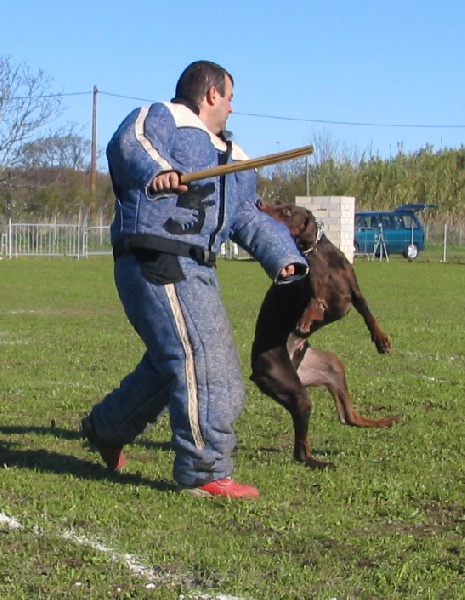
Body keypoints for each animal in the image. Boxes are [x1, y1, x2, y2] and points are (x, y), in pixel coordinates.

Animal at [250, 202, 398, 468]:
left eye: (286, 211)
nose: (259, 203)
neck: (317, 253)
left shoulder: (355, 292)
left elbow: (369, 315)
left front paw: (381, 340)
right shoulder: (311, 288)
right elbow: (315, 301)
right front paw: (306, 318)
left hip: (329, 367)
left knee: (349, 417)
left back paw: (384, 421)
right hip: (294, 390)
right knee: (300, 450)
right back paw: (317, 462)